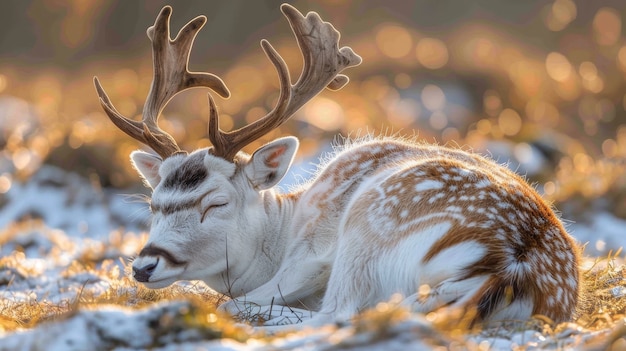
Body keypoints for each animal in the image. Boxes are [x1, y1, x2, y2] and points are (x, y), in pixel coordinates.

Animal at [92, 4, 580, 328]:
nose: (144, 266)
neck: (281, 231)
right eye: (154, 203)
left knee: (341, 313)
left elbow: (237, 300)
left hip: (367, 227)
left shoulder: (314, 253)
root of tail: (513, 266)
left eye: (216, 203)